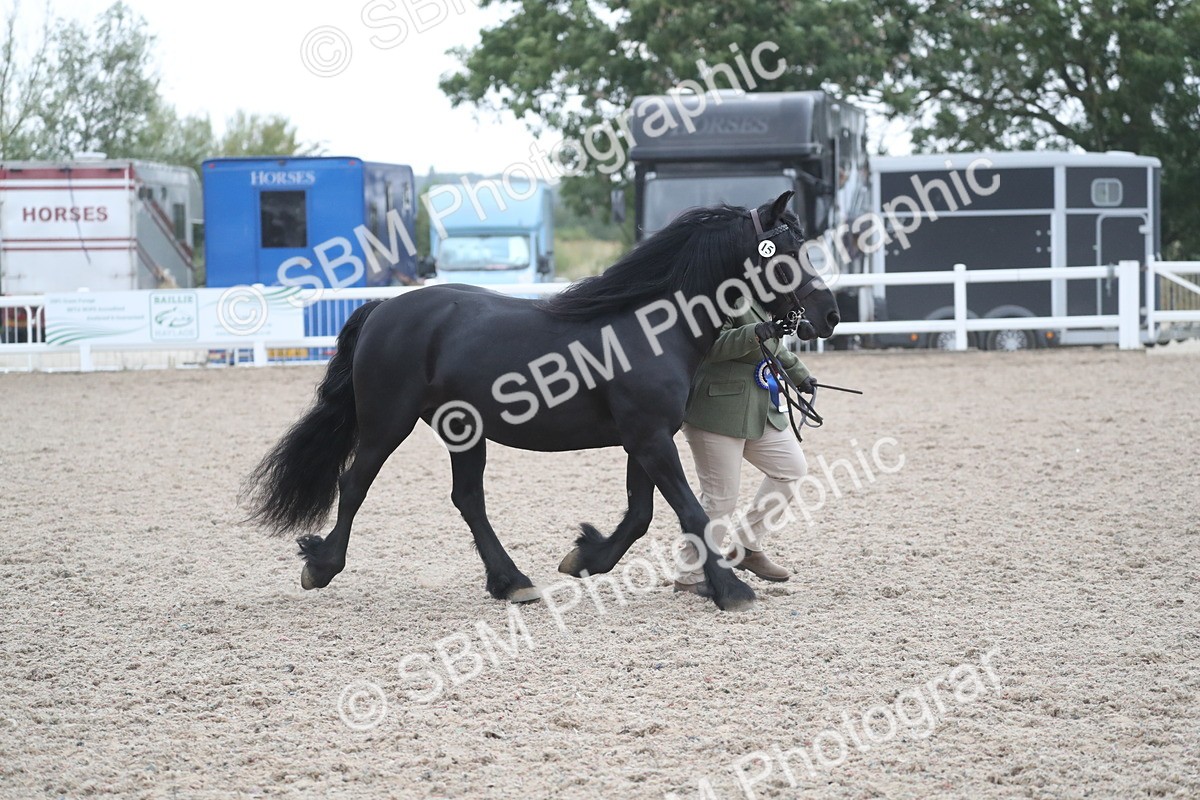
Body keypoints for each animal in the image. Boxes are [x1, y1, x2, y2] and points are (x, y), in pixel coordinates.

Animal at [244, 191, 840, 611]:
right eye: (787, 252)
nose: (830, 315)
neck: (650, 327)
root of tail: (383, 309)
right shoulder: (649, 437)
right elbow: (689, 512)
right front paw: (731, 590)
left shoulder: (645, 439)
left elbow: (641, 513)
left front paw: (585, 557)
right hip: (387, 422)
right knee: (354, 483)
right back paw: (322, 565)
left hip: (463, 431)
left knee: (468, 499)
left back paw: (511, 582)